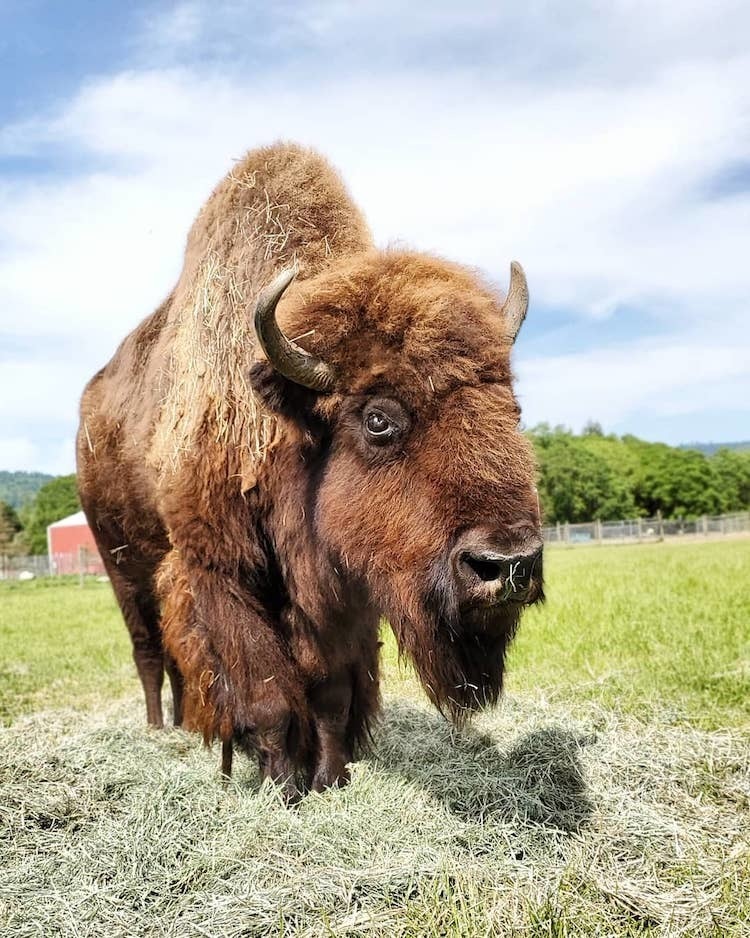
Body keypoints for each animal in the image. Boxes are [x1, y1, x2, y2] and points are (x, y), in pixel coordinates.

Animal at [76, 141, 544, 796]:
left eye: (513, 408)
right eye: (378, 419)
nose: (508, 565)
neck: (289, 433)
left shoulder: (343, 596)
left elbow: (330, 695)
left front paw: (329, 779)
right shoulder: (220, 573)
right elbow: (268, 697)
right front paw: (280, 785)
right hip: (121, 565)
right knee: (149, 653)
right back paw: (158, 732)